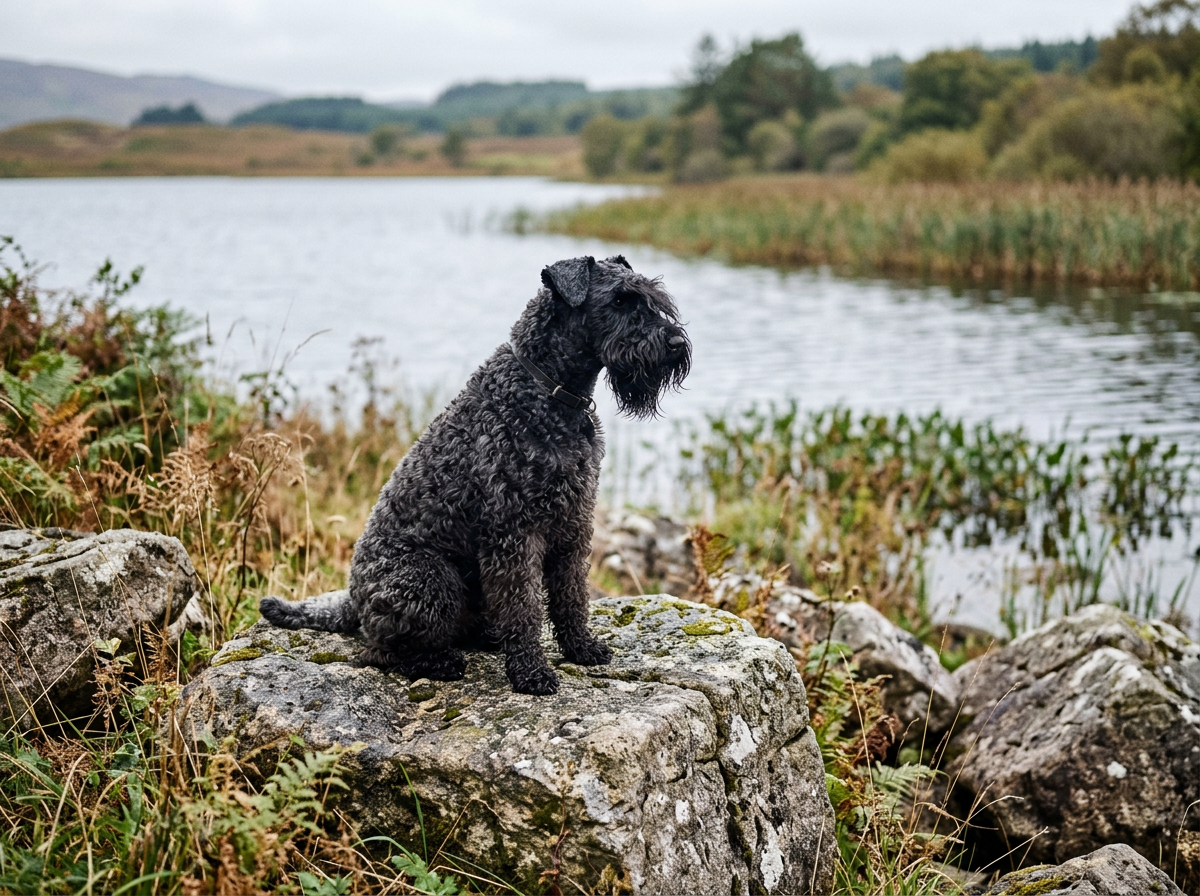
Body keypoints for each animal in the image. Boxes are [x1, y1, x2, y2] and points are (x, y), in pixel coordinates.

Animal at [260, 255, 690, 694]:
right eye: (620, 301)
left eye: (651, 298)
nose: (675, 343)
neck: (547, 393)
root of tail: (352, 597)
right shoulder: (515, 533)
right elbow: (524, 607)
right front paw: (531, 672)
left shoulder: (574, 522)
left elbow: (571, 595)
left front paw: (581, 648)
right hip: (430, 580)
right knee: (382, 649)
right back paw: (440, 661)